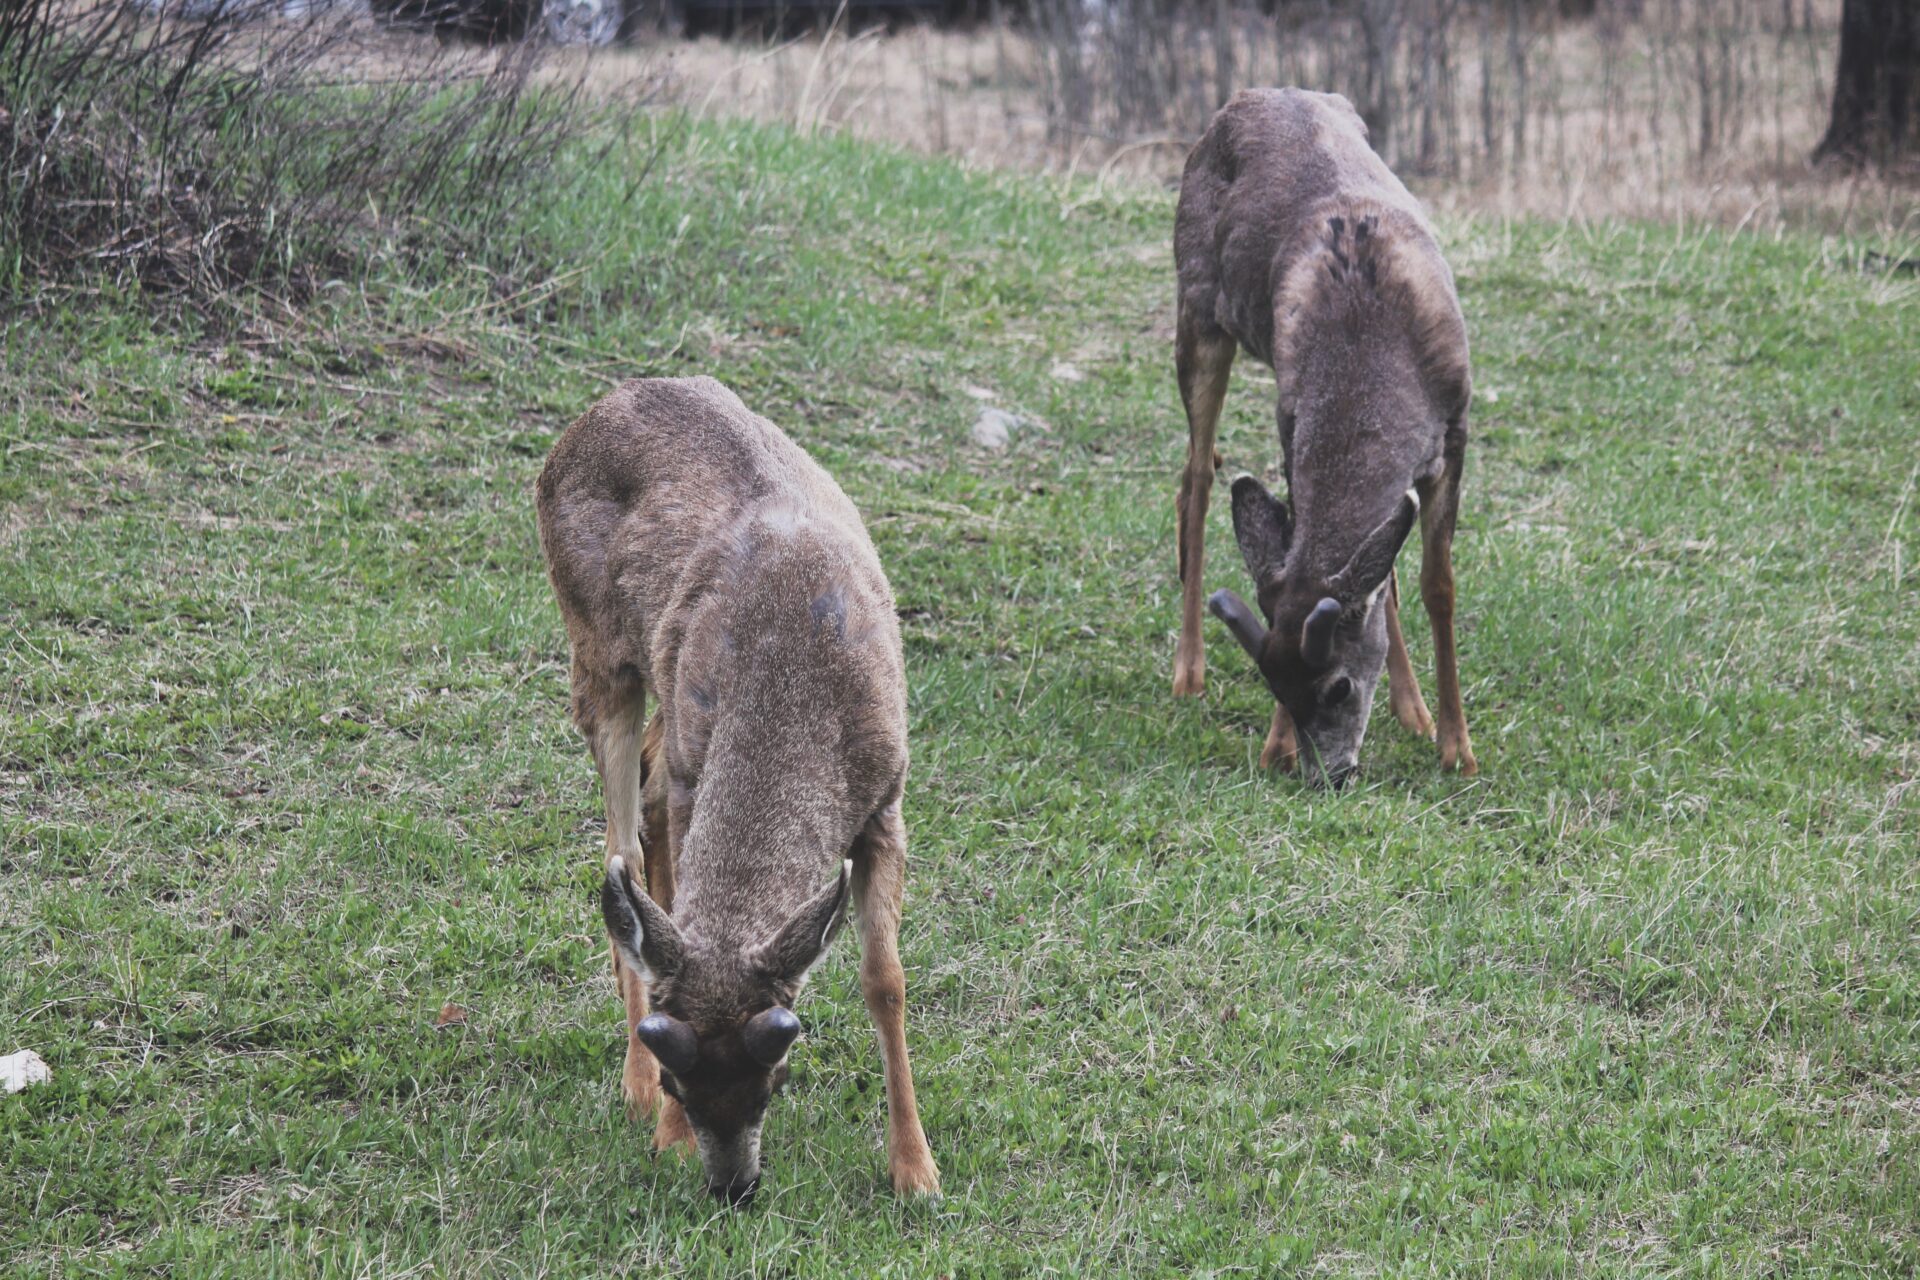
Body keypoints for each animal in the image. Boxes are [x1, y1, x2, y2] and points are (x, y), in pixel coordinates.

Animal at [537, 376, 940, 1205]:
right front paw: (665, 1133)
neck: (792, 681)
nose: (731, 1186)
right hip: (598, 652)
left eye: (774, 1076)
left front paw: (915, 1168)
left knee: (648, 794)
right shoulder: (701, 769)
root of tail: (603, 404)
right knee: (619, 848)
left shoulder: (887, 800)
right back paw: (628, 1084)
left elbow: (885, 980)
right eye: (680, 1080)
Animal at [1159, 84, 1474, 786]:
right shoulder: (1291, 421)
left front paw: (1455, 745)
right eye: (1272, 683)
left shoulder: (1456, 433)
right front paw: (1274, 747)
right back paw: (1188, 671)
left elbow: (1432, 584)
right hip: (1198, 308)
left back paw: (1411, 708)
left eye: (1338, 687)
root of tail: (1246, 96)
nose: (1326, 774)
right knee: (1197, 474)